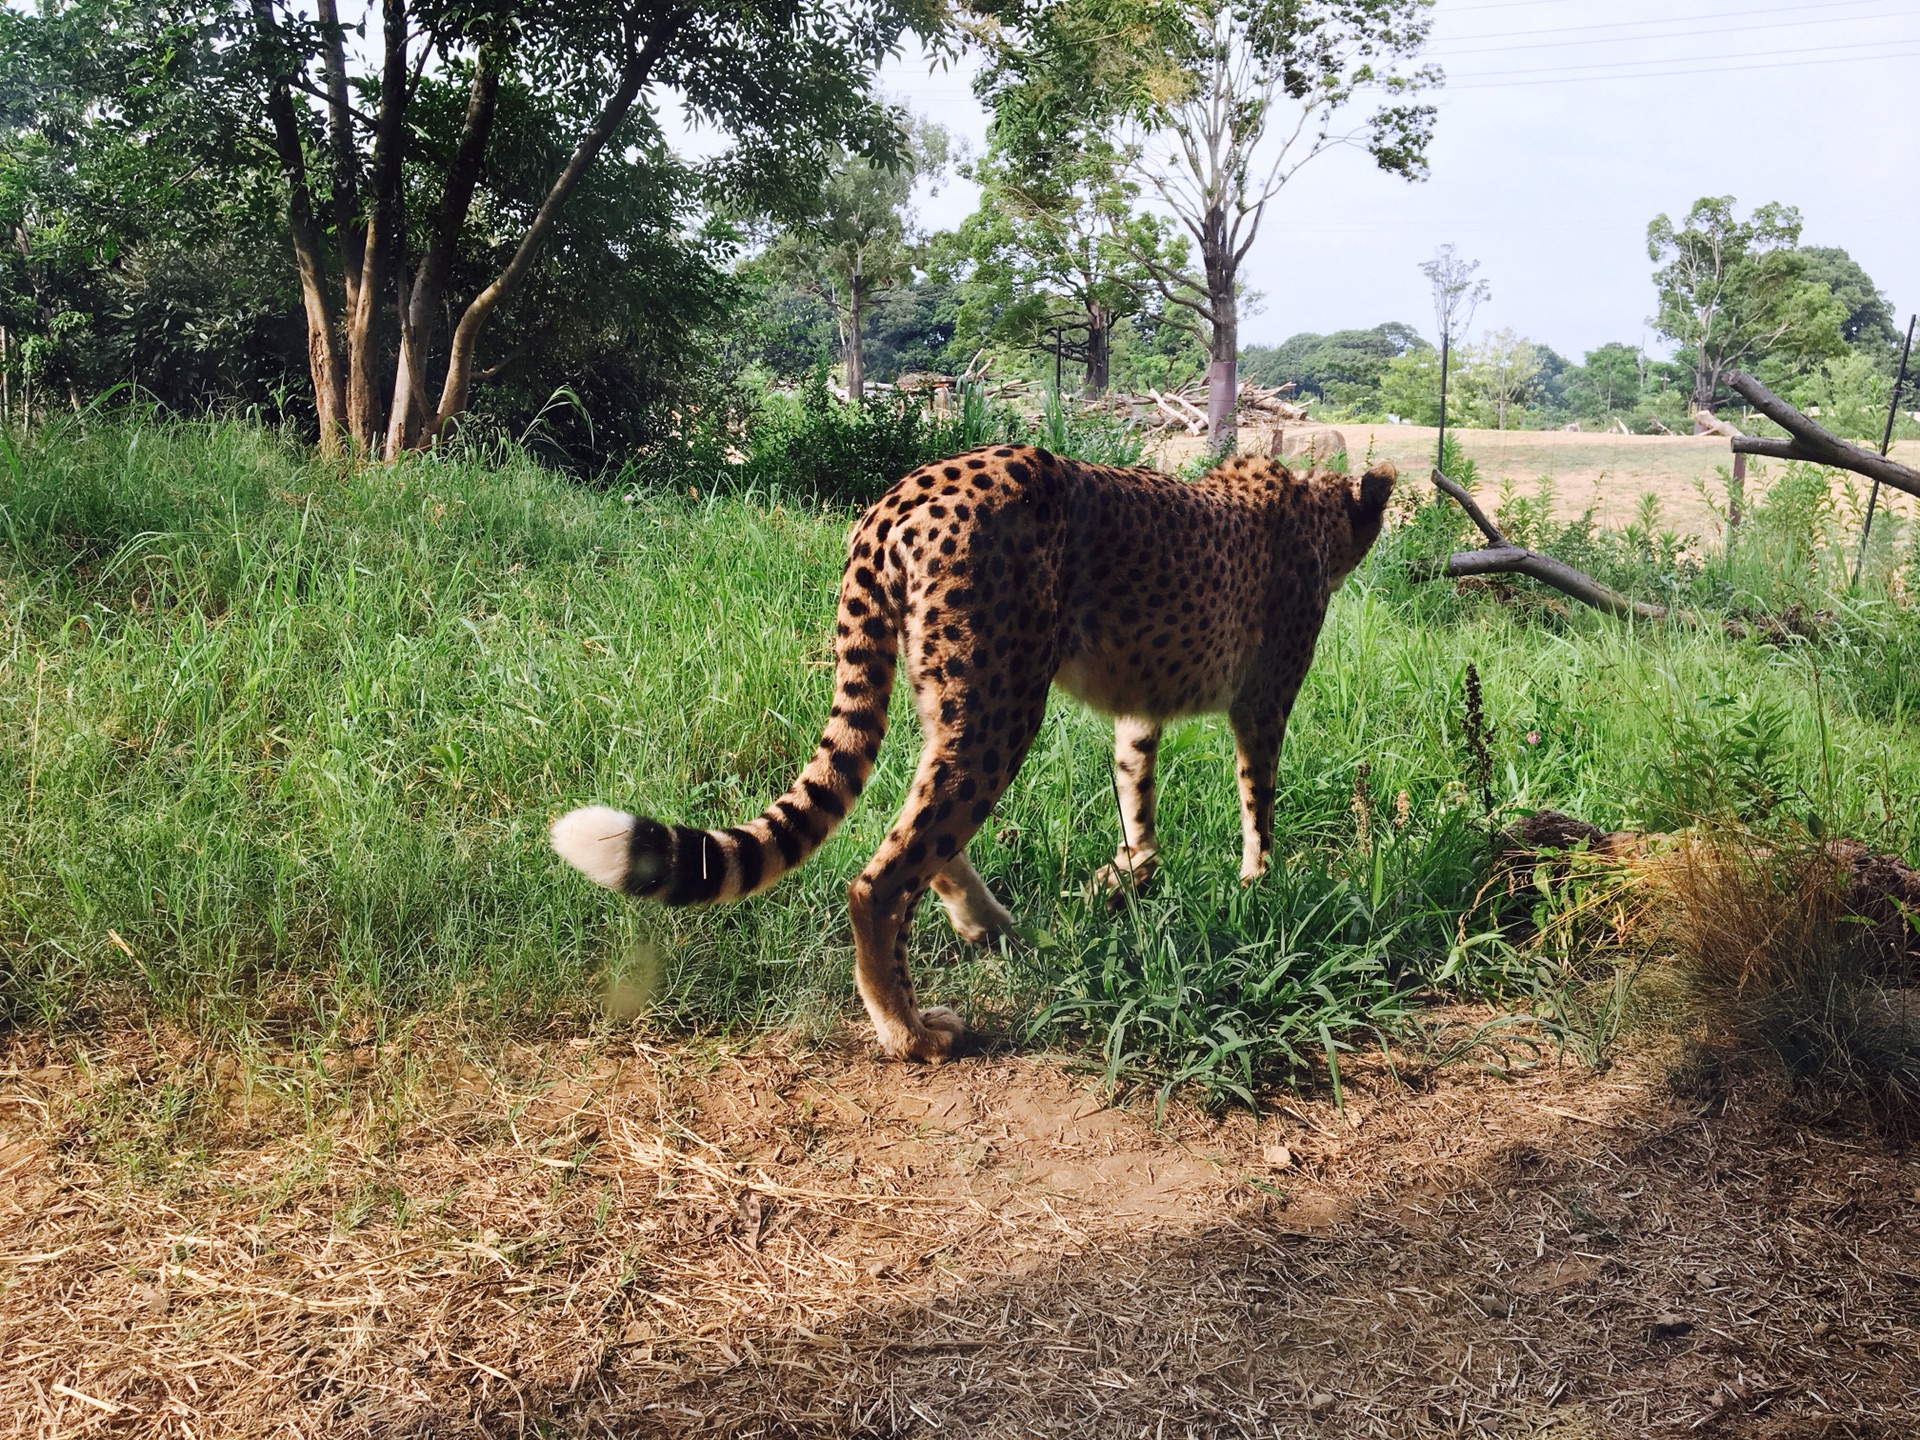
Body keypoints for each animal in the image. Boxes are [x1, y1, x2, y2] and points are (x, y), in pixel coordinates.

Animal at [552, 445, 1397, 1067]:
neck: (1311, 505)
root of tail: (905, 490)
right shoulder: (1263, 702)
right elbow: (1260, 798)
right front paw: (1259, 886)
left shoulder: (1139, 708)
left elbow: (1136, 791)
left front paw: (1127, 874)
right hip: (1003, 702)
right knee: (883, 876)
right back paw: (910, 1031)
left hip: (951, 693)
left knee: (926, 834)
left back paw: (985, 926)